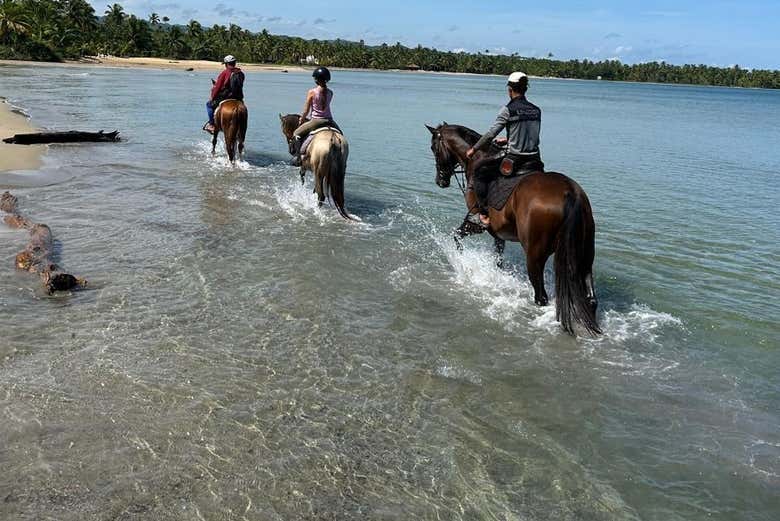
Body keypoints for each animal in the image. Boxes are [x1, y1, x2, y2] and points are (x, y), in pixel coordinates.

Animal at [426, 123, 601, 336]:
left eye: (434, 148)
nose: (440, 181)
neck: (476, 159)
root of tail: (571, 192)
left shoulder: (476, 224)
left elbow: (457, 236)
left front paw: (461, 260)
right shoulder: (498, 233)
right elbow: (498, 258)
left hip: (534, 256)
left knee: (541, 297)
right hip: (584, 254)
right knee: (590, 297)